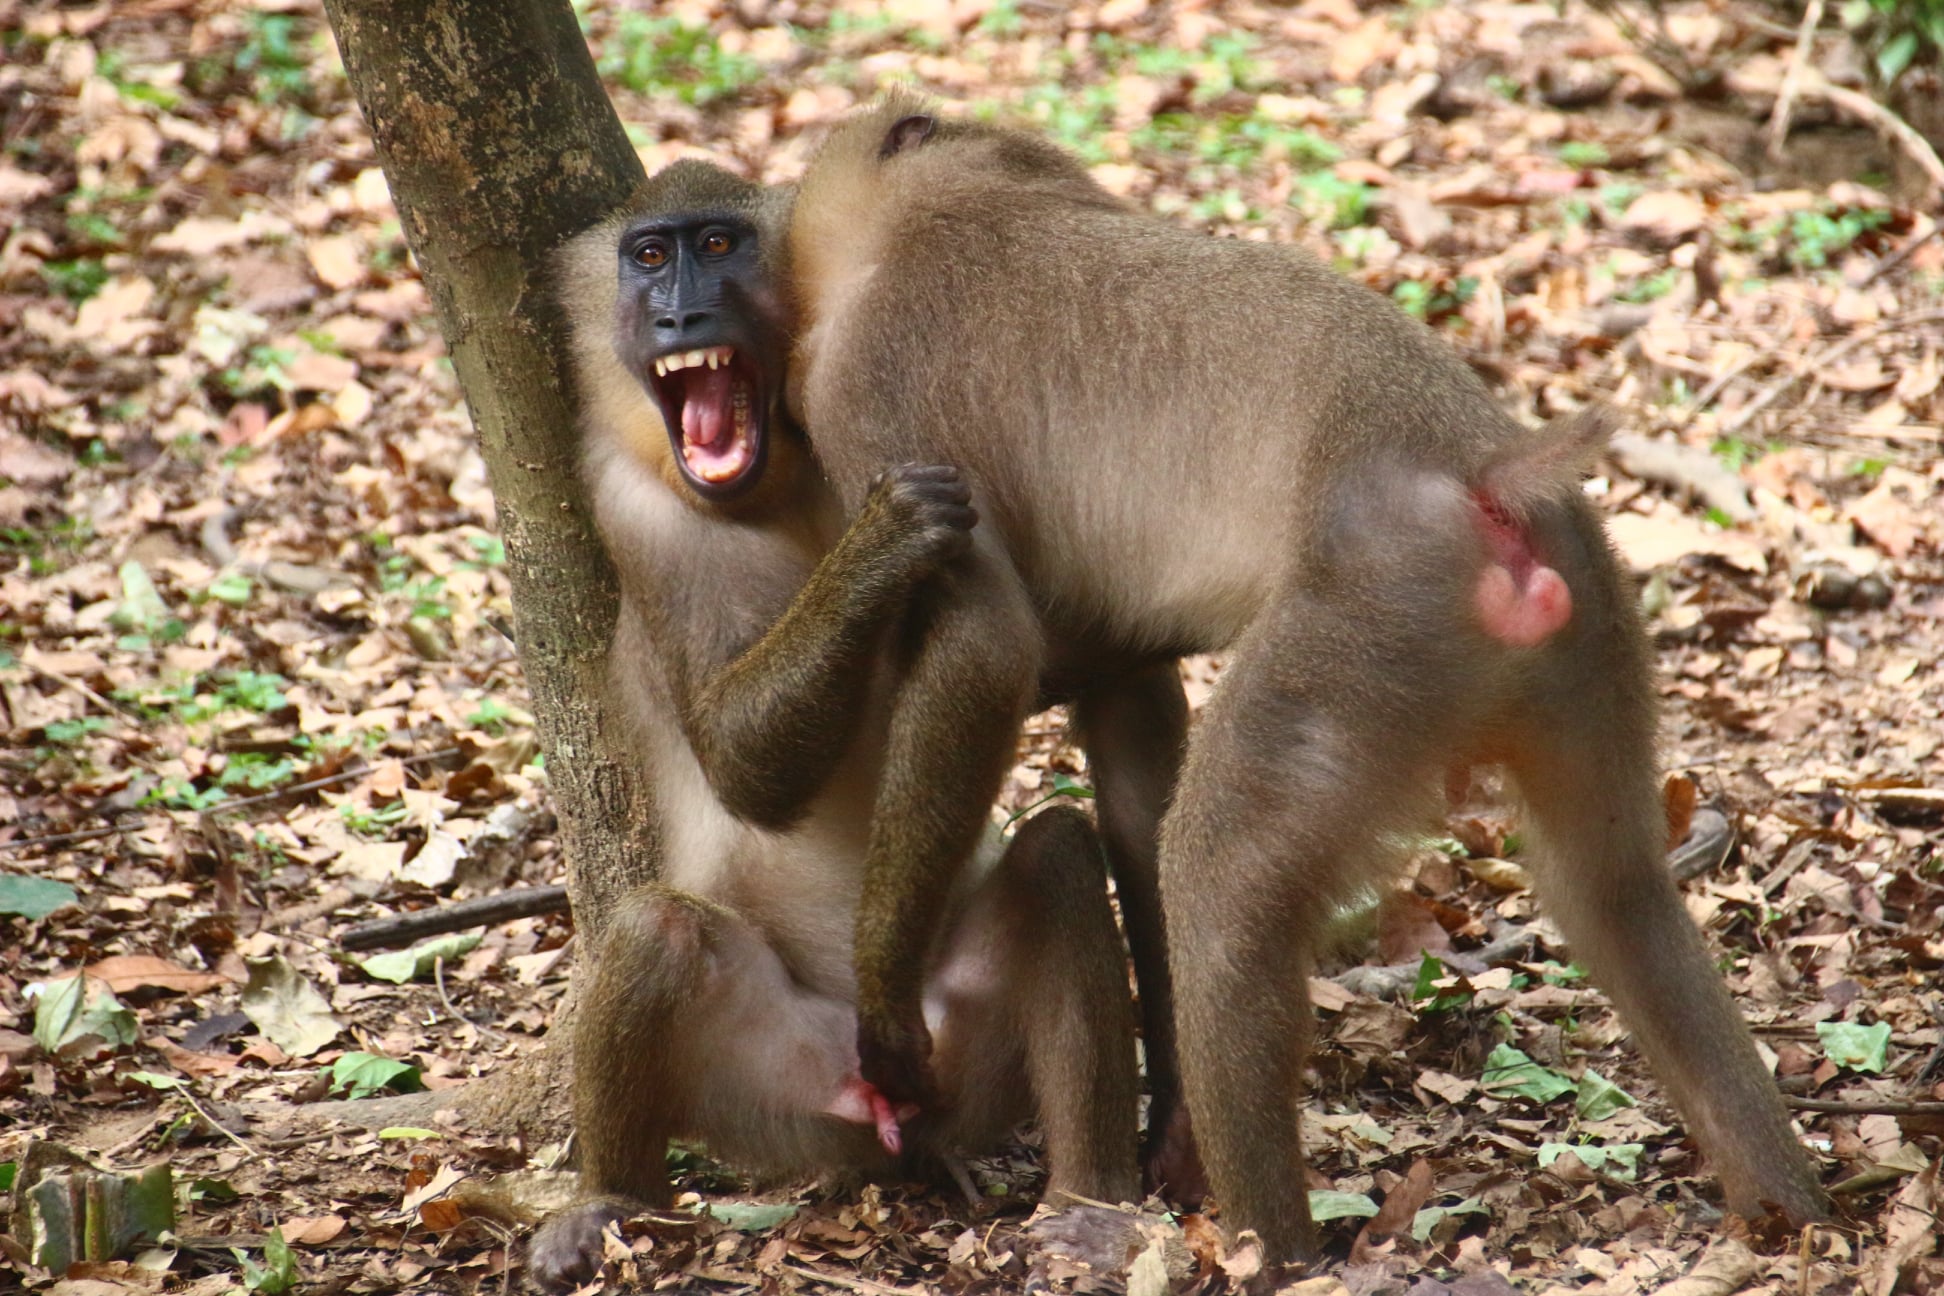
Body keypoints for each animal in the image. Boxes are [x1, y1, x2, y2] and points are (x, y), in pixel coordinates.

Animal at [525, 160, 1143, 1291]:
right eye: (648, 256)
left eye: (717, 245)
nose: (682, 312)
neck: (772, 485)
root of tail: (884, 1118)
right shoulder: (632, 512)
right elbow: (738, 764)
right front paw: (885, 540)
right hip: (778, 1082)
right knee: (657, 930)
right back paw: (609, 1202)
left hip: (953, 1050)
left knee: (1057, 856)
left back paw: (1089, 1203)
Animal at [779, 97, 1831, 1262]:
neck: (942, 206)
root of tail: (1483, 480)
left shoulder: (867, 387)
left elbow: (987, 649)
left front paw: (885, 1014)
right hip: (1583, 615)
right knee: (1615, 888)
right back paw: (1792, 1210)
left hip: (1361, 624)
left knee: (1224, 885)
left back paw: (1272, 1254)